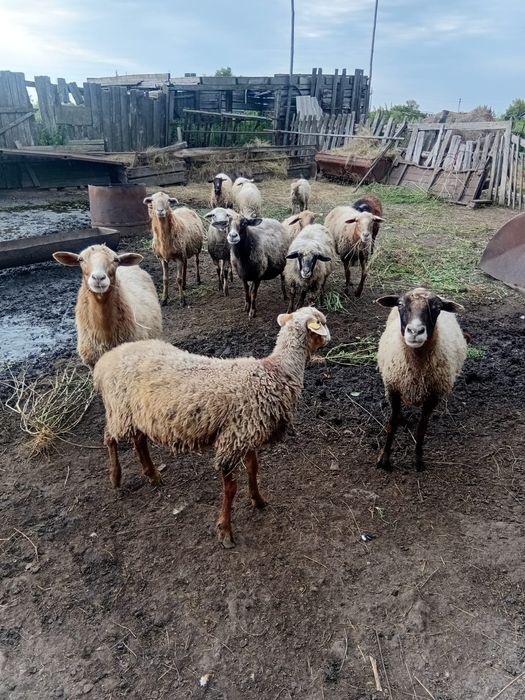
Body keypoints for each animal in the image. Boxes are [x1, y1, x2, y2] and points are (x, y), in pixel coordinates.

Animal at [93, 306, 331, 548]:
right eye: (321, 322)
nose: (329, 340)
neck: (275, 371)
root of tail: (105, 361)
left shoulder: (246, 434)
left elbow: (253, 469)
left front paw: (258, 500)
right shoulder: (232, 440)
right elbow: (231, 489)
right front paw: (225, 531)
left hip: (137, 413)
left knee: (139, 441)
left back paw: (153, 475)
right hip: (119, 409)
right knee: (110, 438)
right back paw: (116, 478)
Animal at [375, 287, 467, 472]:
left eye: (437, 307)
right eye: (400, 304)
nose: (415, 331)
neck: (416, 370)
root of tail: (420, 287)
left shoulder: (433, 396)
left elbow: (421, 429)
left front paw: (418, 460)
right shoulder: (393, 388)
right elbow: (392, 425)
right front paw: (385, 460)